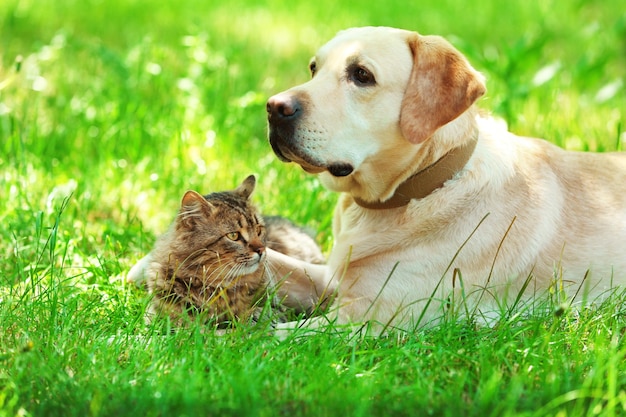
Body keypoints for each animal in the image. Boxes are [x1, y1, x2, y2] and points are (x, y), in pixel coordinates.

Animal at [144, 174, 324, 326]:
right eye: (233, 235)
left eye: (258, 230)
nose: (261, 250)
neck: (217, 289)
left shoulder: (279, 308)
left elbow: (263, 313)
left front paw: (253, 315)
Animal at [264, 25, 624, 332]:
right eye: (314, 68)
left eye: (361, 75)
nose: (273, 107)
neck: (422, 188)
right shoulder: (332, 278)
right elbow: (275, 263)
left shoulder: (361, 322)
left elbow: (261, 338)